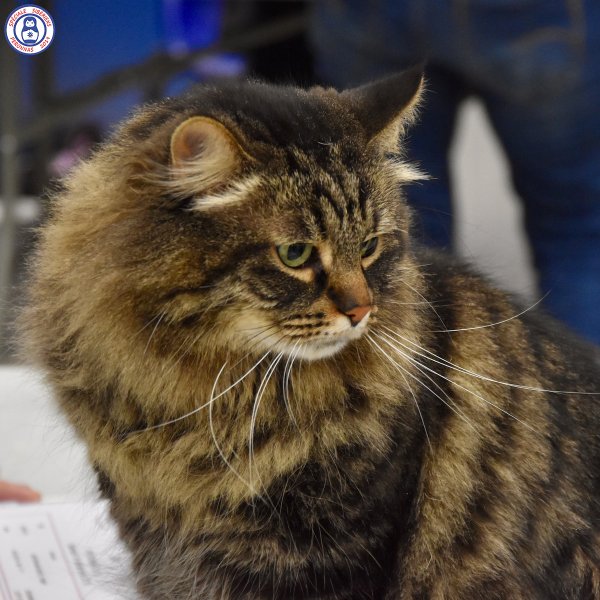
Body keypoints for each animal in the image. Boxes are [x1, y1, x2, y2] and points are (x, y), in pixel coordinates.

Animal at [22, 67, 600, 599]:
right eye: (295, 254)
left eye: (369, 246)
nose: (362, 311)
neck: (202, 399)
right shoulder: (153, 539)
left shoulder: (329, 552)